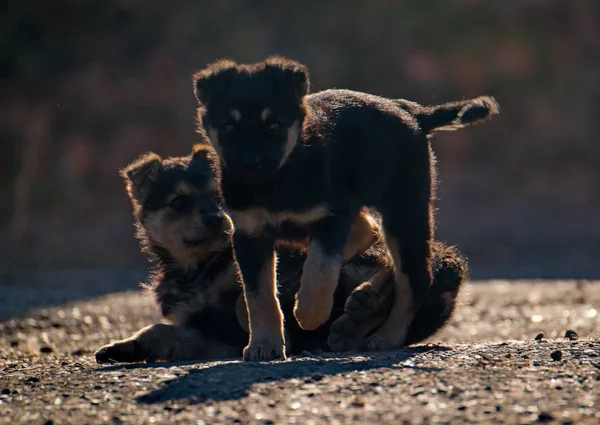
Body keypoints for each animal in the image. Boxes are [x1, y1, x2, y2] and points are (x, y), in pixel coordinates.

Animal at [95, 147, 468, 362]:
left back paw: (365, 303)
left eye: (220, 197)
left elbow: (247, 299)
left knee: (397, 268)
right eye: (178, 202)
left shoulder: (285, 266)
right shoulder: (210, 333)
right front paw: (125, 347)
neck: (200, 268)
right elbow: (159, 330)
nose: (216, 218)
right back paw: (354, 324)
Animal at [192, 55, 496, 362]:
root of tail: (413, 112)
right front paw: (264, 344)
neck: (278, 179)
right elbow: (258, 296)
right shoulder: (249, 234)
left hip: (403, 213)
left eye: (274, 126)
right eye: (228, 127)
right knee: (368, 230)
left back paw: (387, 336)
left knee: (414, 276)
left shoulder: (330, 216)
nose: (250, 165)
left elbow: (321, 268)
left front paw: (310, 313)